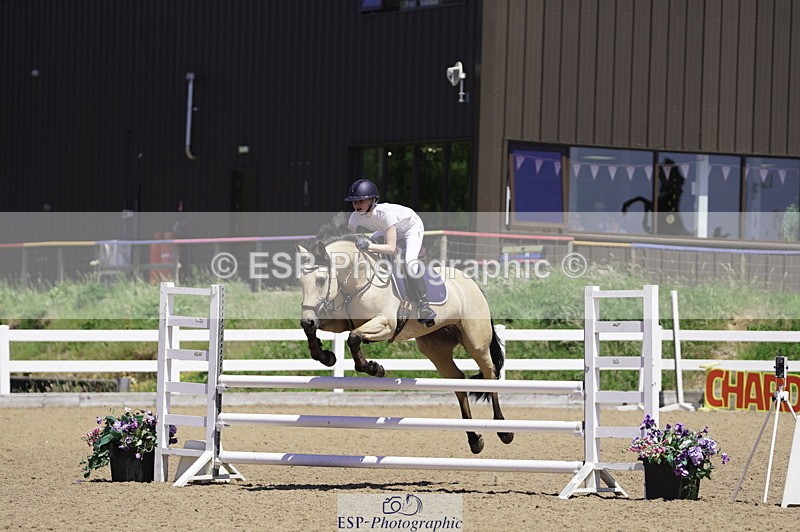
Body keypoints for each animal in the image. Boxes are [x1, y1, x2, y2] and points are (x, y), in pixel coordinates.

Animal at [296, 222, 514, 454]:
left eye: (320, 280)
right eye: (300, 281)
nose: (307, 320)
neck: (359, 279)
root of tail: (472, 284)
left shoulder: (386, 324)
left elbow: (354, 338)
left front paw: (374, 368)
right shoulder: (342, 322)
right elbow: (321, 331)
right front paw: (325, 356)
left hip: (476, 342)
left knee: (490, 374)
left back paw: (504, 430)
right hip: (436, 349)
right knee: (458, 381)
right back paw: (474, 439)